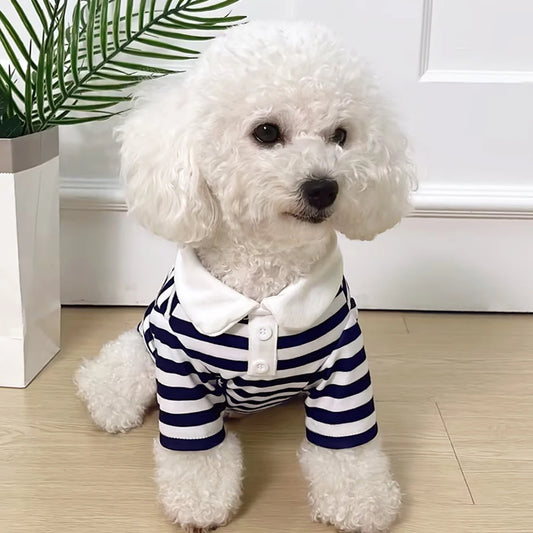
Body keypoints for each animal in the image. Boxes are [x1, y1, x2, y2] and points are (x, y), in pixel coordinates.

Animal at [77, 19, 414, 532]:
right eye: (267, 132)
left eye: (341, 135)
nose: (324, 188)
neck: (263, 288)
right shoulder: (179, 372)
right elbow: (196, 452)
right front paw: (200, 503)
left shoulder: (345, 368)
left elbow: (348, 449)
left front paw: (362, 500)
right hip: (146, 347)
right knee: (119, 367)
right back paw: (106, 400)